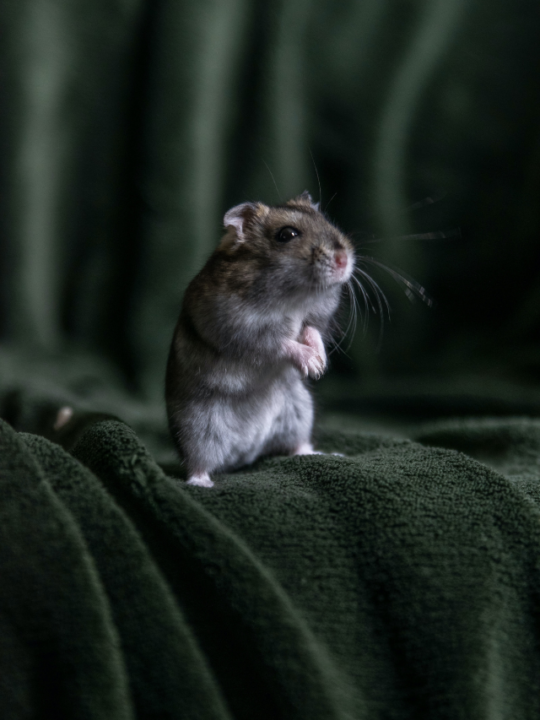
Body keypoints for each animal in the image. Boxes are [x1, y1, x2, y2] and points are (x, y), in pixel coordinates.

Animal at [165, 191, 355, 487]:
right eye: (286, 234)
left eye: (326, 221)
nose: (344, 260)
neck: (295, 296)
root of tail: (245, 454)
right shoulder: (241, 329)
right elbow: (280, 343)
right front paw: (312, 364)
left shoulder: (315, 318)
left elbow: (311, 331)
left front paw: (320, 364)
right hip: (197, 429)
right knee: (198, 463)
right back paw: (202, 483)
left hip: (299, 411)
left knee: (298, 445)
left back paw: (327, 454)